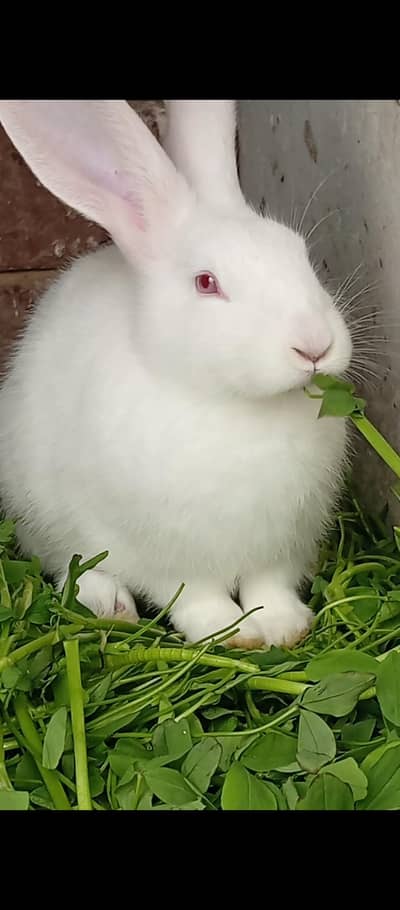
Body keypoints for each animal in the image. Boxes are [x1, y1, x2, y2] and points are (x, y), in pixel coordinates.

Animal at [0, 100, 352, 649]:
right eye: (206, 283)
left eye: (301, 255)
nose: (314, 346)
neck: (228, 401)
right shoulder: (163, 555)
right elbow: (194, 596)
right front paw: (231, 634)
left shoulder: (282, 546)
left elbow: (268, 587)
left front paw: (285, 628)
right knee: (70, 563)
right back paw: (110, 605)